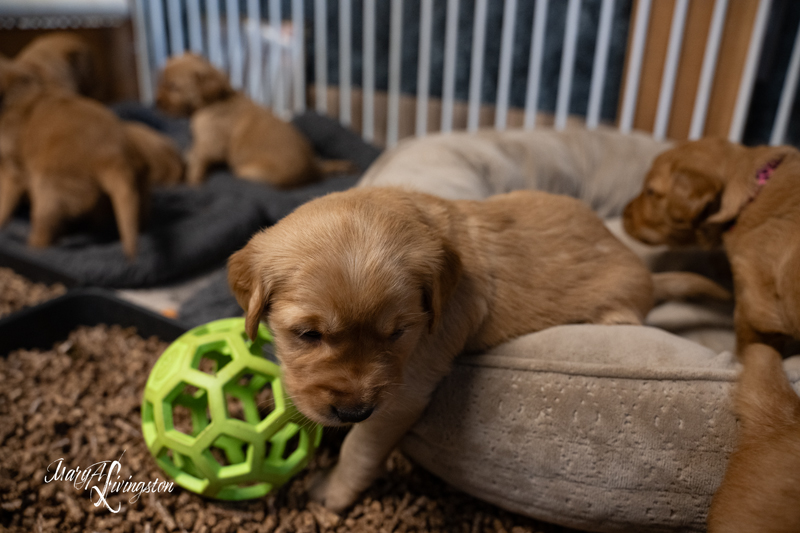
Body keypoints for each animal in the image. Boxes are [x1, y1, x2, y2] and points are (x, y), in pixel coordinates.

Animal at [0, 59, 145, 256]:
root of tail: (113, 154)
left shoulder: (13, 170)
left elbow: (4, 200)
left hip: (48, 188)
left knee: (44, 229)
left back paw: (29, 246)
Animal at [155, 52, 346, 189]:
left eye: (173, 87)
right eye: (160, 81)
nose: (156, 103)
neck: (215, 100)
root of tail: (314, 170)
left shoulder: (210, 144)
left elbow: (198, 161)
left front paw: (192, 181)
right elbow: (192, 152)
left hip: (247, 171)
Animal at [228, 187, 728, 512]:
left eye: (398, 333)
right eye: (307, 334)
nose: (353, 411)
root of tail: (647, 277)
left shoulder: (404, 393)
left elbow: (361, 446)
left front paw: (333, 491)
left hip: (617, 312)